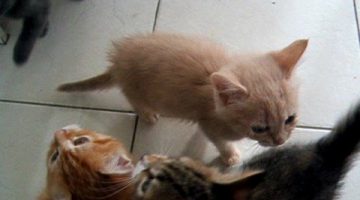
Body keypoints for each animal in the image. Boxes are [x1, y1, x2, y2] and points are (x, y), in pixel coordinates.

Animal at [57, 32, 308, 164]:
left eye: (290, 119)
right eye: (259, 128)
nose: (280, 141)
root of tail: (117, 62)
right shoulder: (209, 125)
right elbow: (220, 141)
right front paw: (231, 156)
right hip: (136, 88)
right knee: (132, 97)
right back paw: (147, 114)